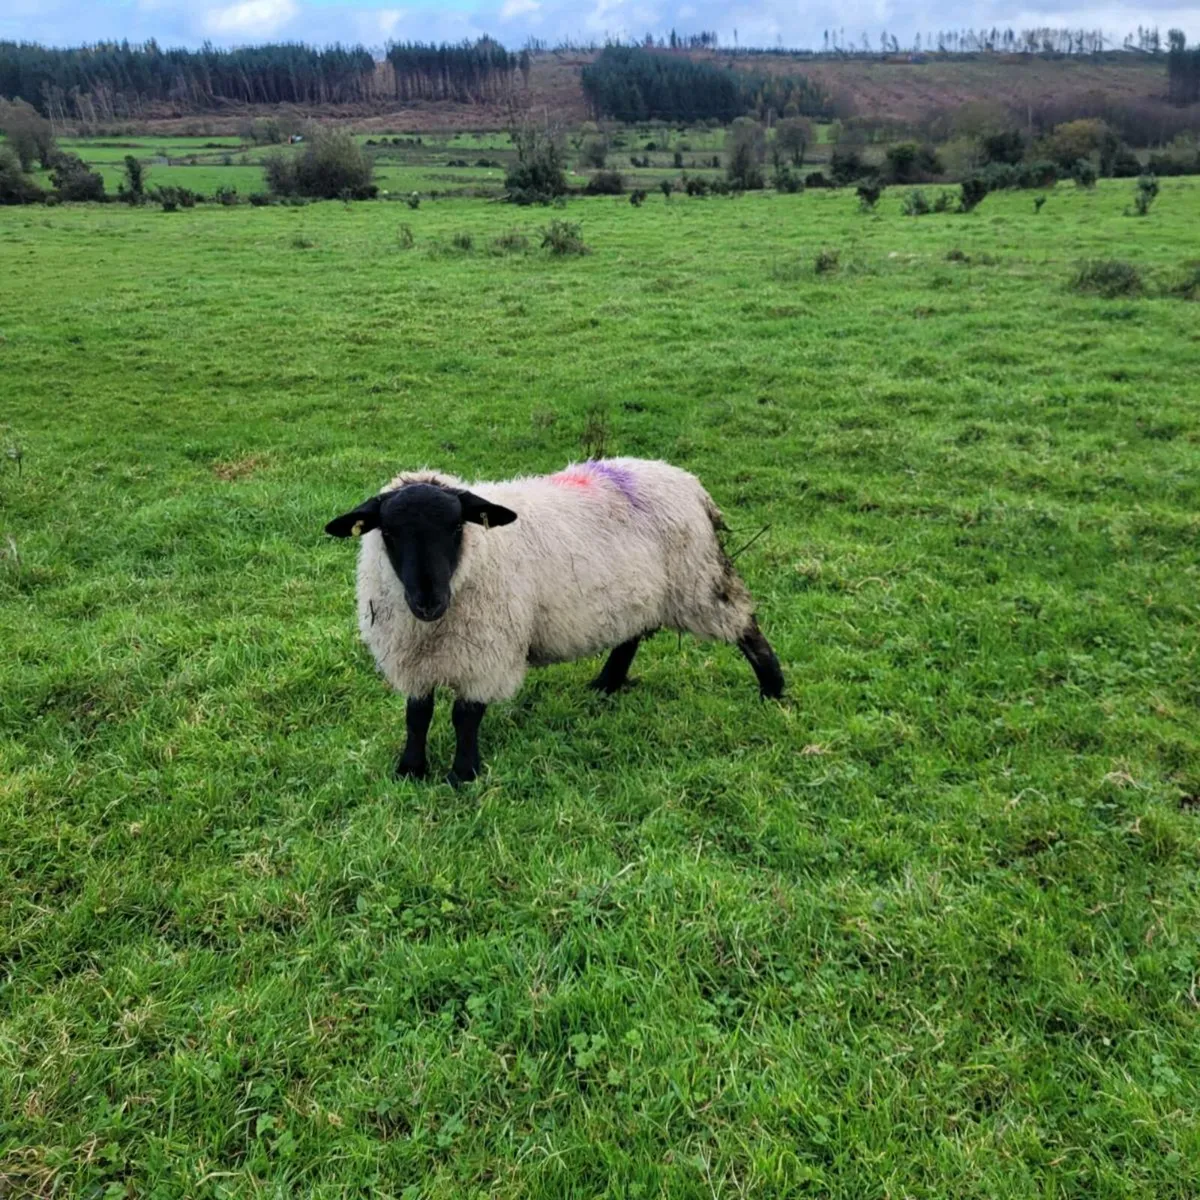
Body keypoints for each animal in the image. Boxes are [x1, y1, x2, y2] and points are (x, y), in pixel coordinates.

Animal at [325, 457, 784, 785]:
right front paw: (411, 771)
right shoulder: (412, 659)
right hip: (638, 591)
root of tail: (687, 481)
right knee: (630, 636)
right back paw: (606, 684)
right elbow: (417, 715)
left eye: (456, 527)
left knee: (746, 626)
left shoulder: (487, 653)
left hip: (699, 582)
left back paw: (774, 692)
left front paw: (462, 775)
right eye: (390, 533)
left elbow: (465, 717)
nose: (428, 601)